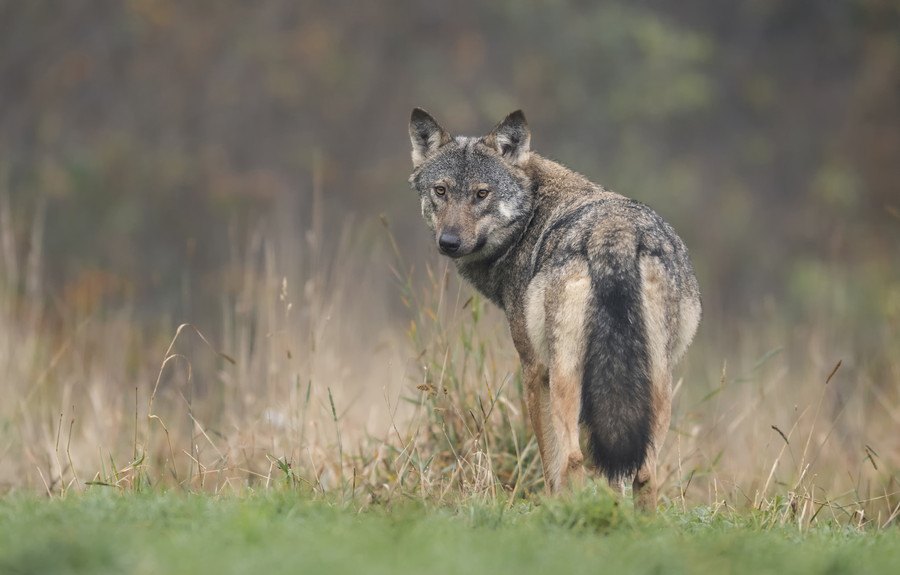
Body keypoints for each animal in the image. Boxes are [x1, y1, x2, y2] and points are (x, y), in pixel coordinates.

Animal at [408, 109, 704, 512]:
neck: (531, 217)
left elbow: (550, 460)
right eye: (441, 191)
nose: (449, 242)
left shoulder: (535, 370)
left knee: (574, 458)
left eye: (482, 194)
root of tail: (614, 234)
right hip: (656, 379)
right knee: (644, 471)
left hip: (567, 374)